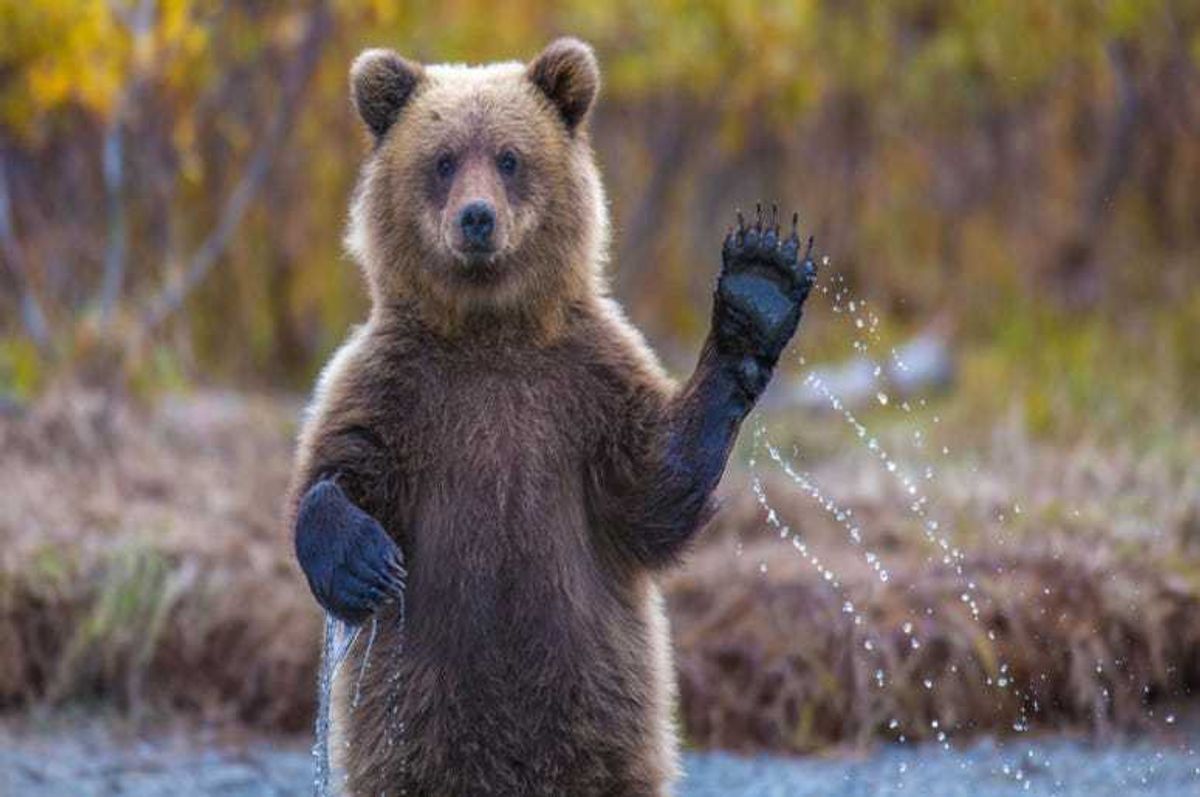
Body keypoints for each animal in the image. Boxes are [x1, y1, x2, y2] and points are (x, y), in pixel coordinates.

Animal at [287, 37, 816, 796]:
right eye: (443, 159)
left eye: (509, 157)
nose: (477, 218)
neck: (491, 331)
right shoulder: (395, 384)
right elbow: (338, 467)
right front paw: (364, 562)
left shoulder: (584, 383)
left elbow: (652, 488)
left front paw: (759, 288)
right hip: (411, 725)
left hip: (602, 718)